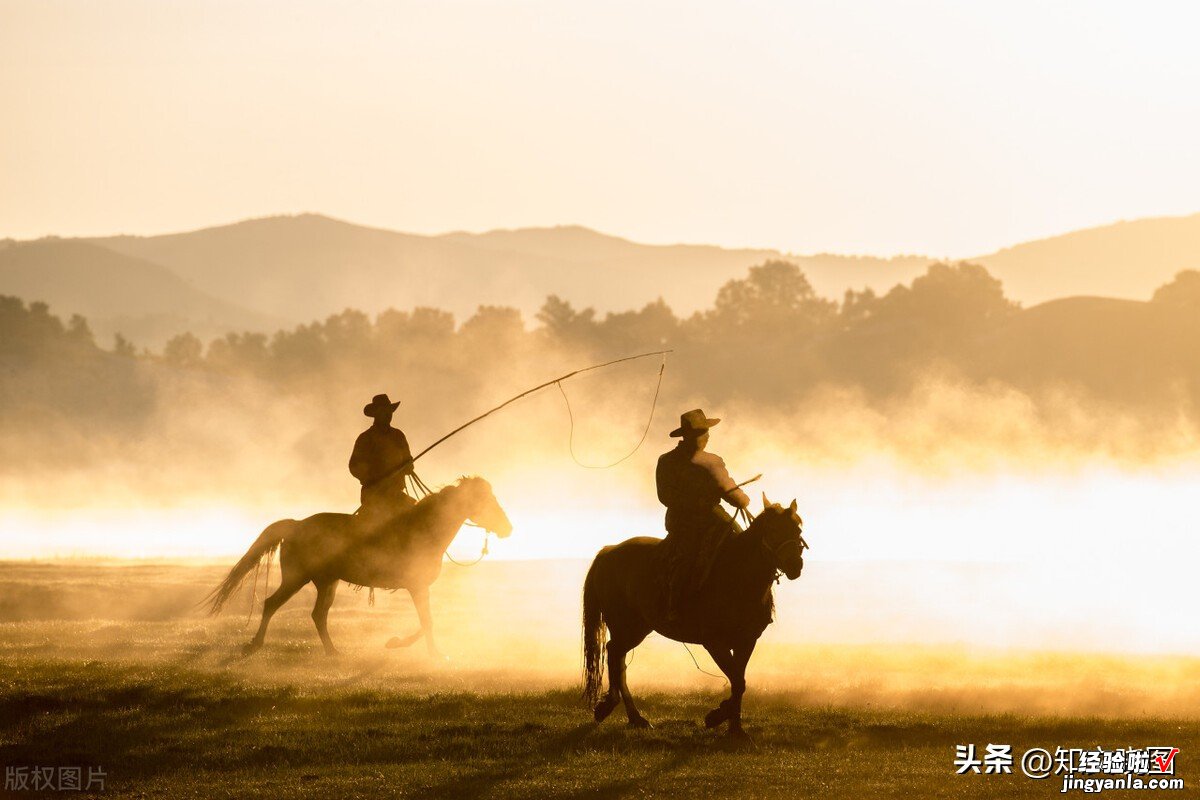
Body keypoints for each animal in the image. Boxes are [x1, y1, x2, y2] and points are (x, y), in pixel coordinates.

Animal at [206, 474, 511, 657]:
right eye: (485, 500)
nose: (508, 528)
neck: (425, 528)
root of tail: (296, 525)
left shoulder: (418, 587)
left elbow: (427, 621)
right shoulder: (416, 586)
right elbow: (428, 621)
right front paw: (421, 650)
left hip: (327, 582)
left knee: (318, 615)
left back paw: (333, 652)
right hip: (296, 578)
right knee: (271, 604)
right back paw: (255, 644)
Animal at [583, 494, 806, 738]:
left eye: (798, 529)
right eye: (772, 529)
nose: (795, 565)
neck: (738, 576)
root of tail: (609, 551)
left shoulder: (746, 641)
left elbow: (739, 681)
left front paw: (734, 729)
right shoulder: (714, 642)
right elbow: (738, 682)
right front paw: (717, 717)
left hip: (637, 627)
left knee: (618, 657)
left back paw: (635, 718)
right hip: (627, 627)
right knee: (614, 653)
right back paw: (614, 709)